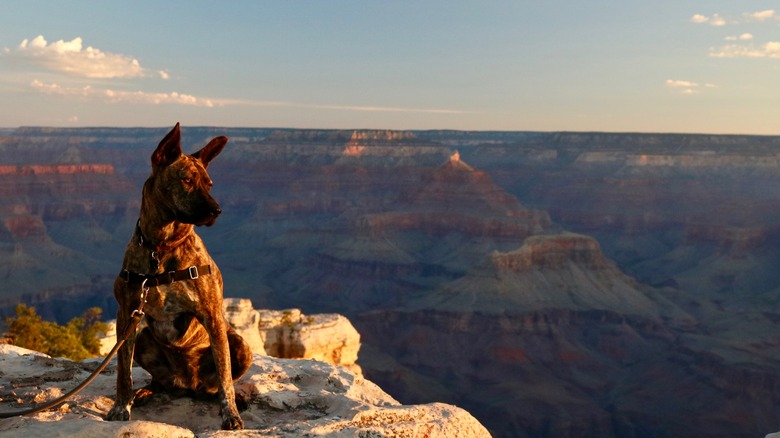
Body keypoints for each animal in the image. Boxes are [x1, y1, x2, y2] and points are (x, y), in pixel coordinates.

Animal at [106, 123, 251, 432]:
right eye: (186, 180)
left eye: (209, 184)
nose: (217, 210)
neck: (161, 247)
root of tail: (188, 385)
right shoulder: (126, 314)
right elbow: (123, 372)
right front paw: (121, 406)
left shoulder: (212, 316)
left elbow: (225, 379)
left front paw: (231, 414)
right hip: (145, 339)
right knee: (160, 382)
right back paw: (145, 392)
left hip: (240, 345)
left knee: (218, 385)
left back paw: (238, 399)